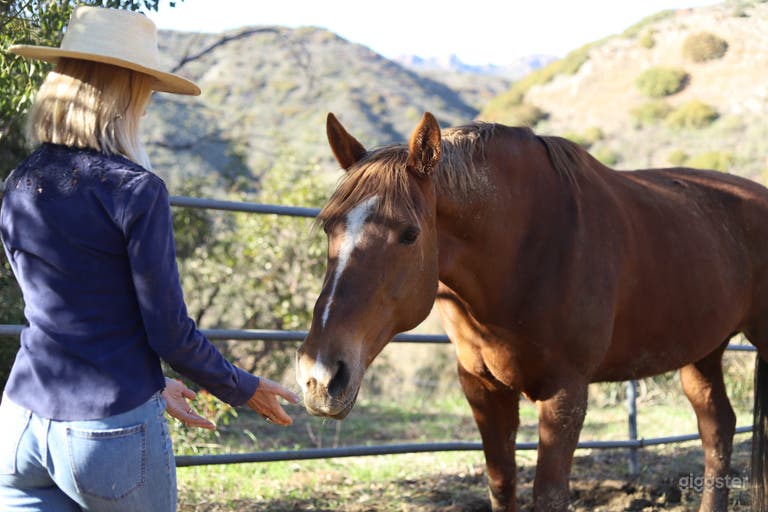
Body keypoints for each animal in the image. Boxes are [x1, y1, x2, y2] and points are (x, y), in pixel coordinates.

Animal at [295, 111, 768, 511]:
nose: (320, 376)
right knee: (717, 426)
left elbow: (550, 494)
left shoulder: (566, 391)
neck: (527, 247)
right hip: (702, 352)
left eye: (409, 234)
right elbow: (501, 484)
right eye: (330, 226)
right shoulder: (482, 387)